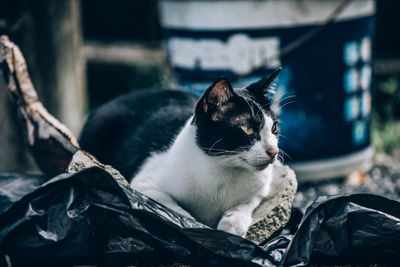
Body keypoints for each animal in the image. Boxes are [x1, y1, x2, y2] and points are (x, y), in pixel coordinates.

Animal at [79, 68, 282, 238]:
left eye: (274, 128)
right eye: (247, 129)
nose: (274, 151)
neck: (224, 168)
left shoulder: (262, 187)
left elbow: (247, 201)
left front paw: (232, 225)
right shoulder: (143, 184)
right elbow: (176, 211)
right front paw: (197, 228)